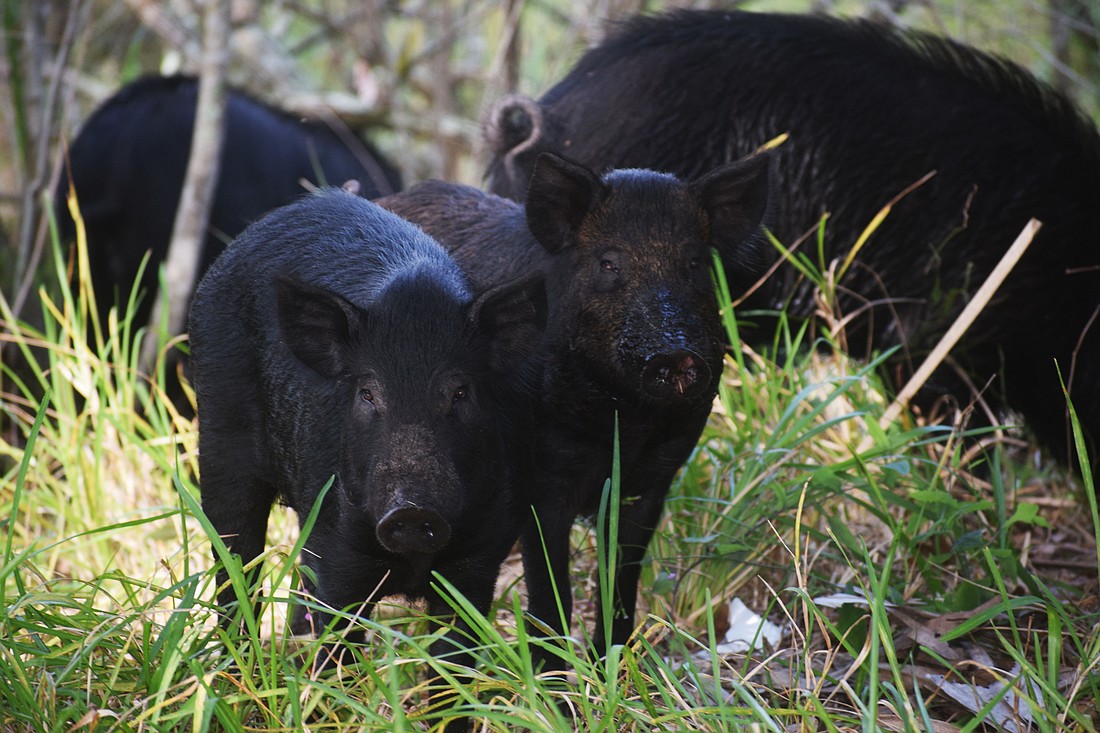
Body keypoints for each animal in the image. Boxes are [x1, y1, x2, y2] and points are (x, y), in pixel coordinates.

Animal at [188, 188, 545, 685]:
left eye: (460, 391)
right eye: (368, 393)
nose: (411, 509)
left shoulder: (479, 557)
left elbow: (453, 666)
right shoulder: (338, 550)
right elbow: (337, 643)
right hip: (219, 435)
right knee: (234, 564)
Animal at [380, 151, 771, 665]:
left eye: (693, 264)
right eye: (608, 262)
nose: (674, 354)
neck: (624, 422)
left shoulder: (653, 480)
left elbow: (623, 579)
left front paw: (616, 662)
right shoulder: (542, 478)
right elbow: (551, 588)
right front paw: (551, 673)